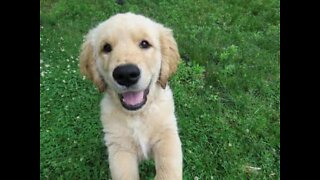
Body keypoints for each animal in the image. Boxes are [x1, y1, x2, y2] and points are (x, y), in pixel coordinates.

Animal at [79, 12, 182, 180]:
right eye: (106, 47)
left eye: (145, 44)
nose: (126, 74)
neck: (137, 114)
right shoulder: (119, 146)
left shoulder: (167, 135)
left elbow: (168, 170)